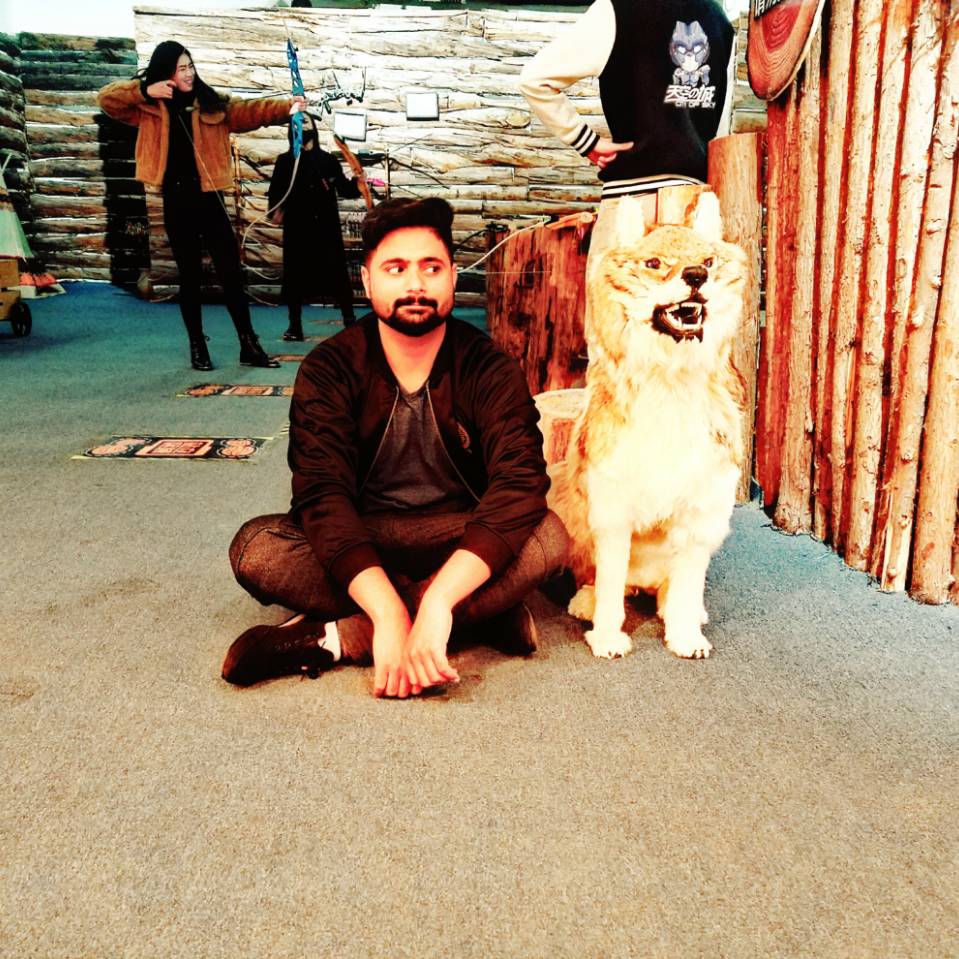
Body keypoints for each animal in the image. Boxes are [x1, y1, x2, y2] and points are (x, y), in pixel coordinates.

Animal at [548, 191, 748, 660]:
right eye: (654, 263)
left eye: (708, 261)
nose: (696, 276)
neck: (670, 381)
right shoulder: (612, 509)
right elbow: (609, 583)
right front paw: (606, 637)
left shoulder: (700, 510)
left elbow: (687, 582)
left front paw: (685, 636)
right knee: (603, 580)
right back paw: (585, 602)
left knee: (666, 586)